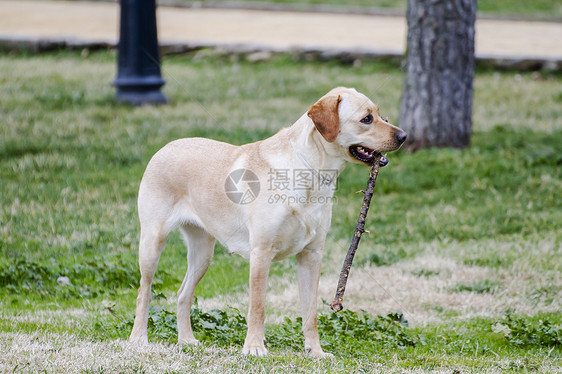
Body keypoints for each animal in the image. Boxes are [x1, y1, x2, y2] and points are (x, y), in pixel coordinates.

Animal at [129, 86, 404, 356]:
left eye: (379, 114)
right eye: (366, 119)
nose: (403, 136)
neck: (310, 172)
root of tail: (165, 147)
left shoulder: (311, 255)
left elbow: (310, 314)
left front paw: (315, 351)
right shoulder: (261, 252)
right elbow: (258, 307)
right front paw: (254, 347)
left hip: (202, 254)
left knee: (183, 293)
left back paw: (187, 340)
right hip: (153, 243)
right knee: (144, 292)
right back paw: (138, 339)